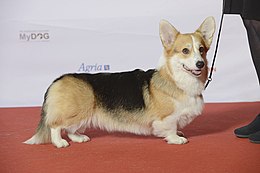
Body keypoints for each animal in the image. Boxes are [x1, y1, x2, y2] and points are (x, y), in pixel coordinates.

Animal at [24, 17, 215, 147]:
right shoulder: (165, 118)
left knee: (71, 129)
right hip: (75, 110)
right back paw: (59, 143)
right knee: (55, 126)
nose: (200, 64)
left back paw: (79, 138)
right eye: (185, 51)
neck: (177, 80)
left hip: (82, 114)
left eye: (201, 50)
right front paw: (176, 138)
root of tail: (58, 80)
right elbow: (170, 128)